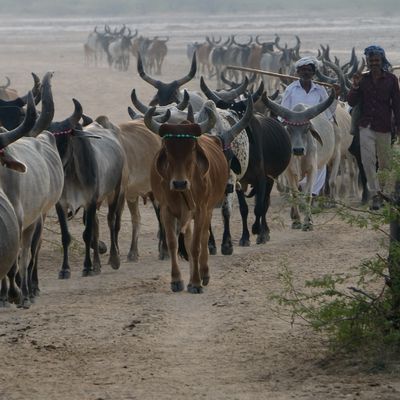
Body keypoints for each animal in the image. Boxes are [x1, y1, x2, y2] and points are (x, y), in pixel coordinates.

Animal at [145, 98, 253, 292]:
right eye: (167, 151)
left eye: (193, 150)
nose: (179, 183)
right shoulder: (167, 210)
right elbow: (174, 243)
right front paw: (177, 281)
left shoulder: (203, 208)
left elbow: (197, 244)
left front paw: (196, 281)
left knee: (202, 237)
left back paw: (204, 273)